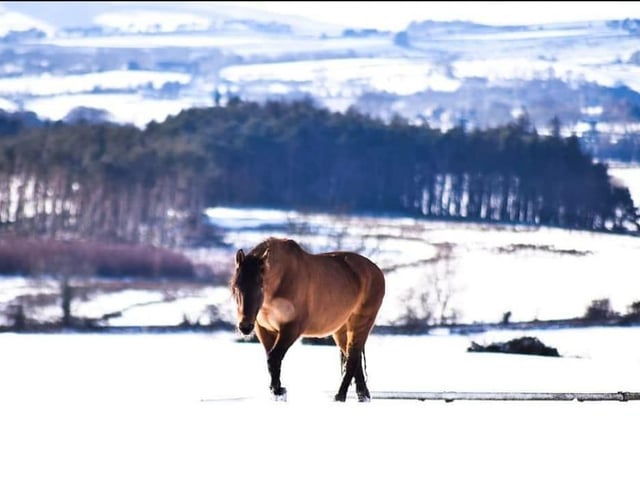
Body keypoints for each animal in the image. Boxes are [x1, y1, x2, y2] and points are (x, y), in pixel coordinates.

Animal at [230, 237, 386, 402]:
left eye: (260, 286)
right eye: (236, 286)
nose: (245, 326)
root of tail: (376, 270)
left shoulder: (291, 329)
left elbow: (274, 358)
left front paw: (279, 392)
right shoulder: (264, 330)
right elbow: (271, 360)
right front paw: (276, 391)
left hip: (360, 323)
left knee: (352, 359)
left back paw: (340, 396)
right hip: (341, 329)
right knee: (354, 359)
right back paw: (363, 396)